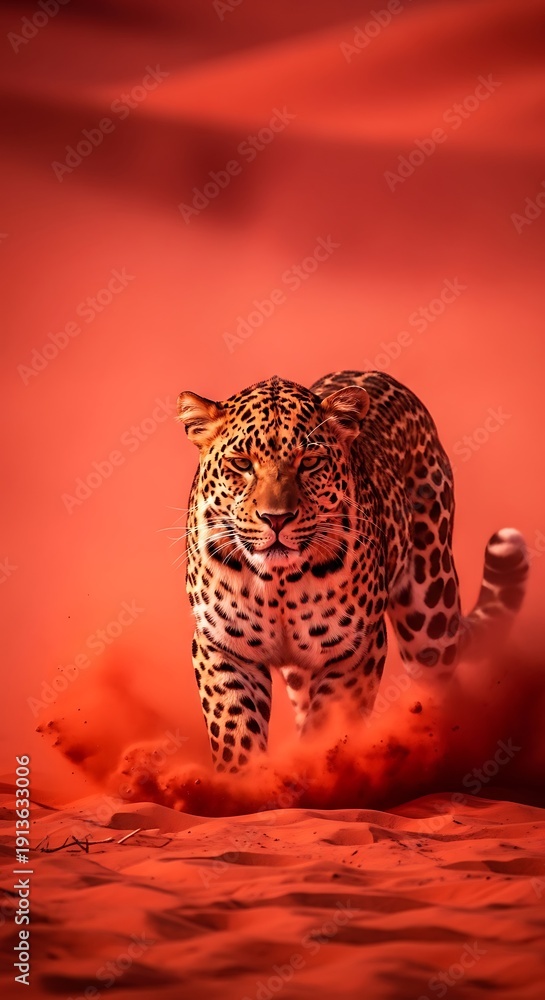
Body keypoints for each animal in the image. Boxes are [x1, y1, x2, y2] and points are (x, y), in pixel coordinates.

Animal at [177, 371, 529, 773]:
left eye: (310, 462)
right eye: (242, 464)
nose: (276, 519)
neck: (278, 580)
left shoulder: (354, 651)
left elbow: (329, 725)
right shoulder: (222, 646)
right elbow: (235, 731)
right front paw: (245, 781)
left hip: (431, 619)